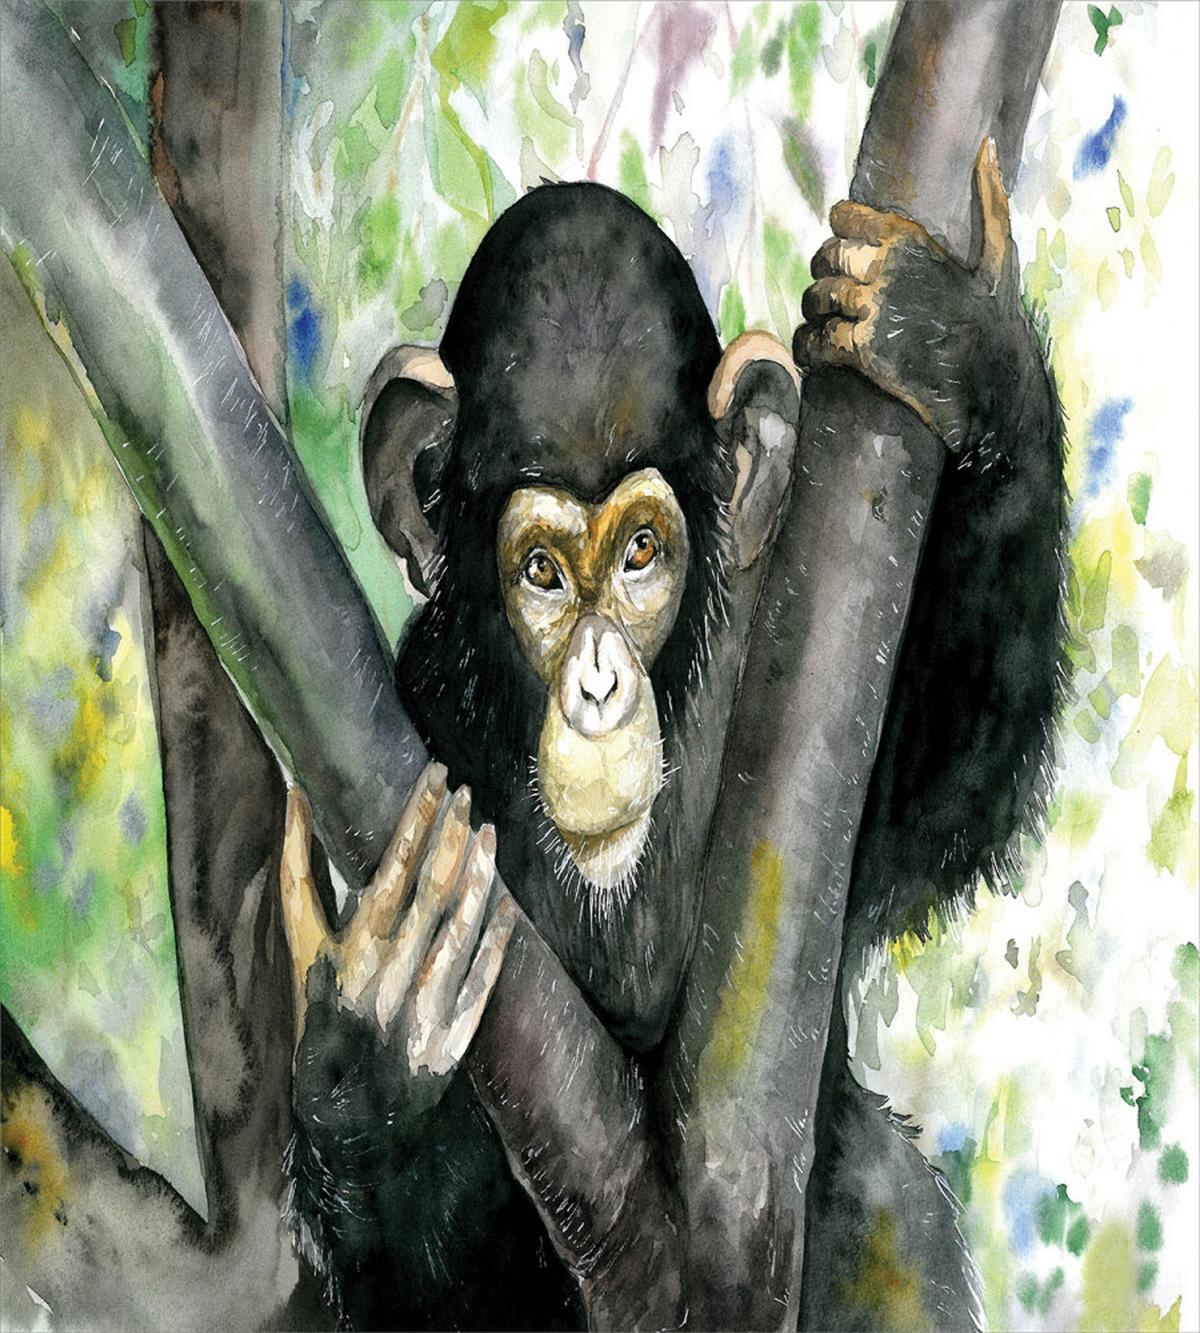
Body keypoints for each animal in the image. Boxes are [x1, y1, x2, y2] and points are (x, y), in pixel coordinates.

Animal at [280, 150, 1063, 1331]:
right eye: (543, 573)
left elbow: (936, 792)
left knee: (888, 1206)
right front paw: (369, 1065)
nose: (600, 684)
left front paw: (960, 347)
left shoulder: (776, 654)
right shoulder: (415, 720)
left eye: (643, 551)